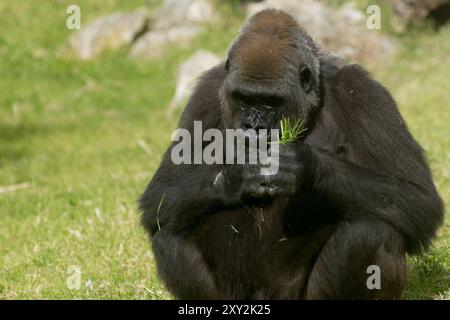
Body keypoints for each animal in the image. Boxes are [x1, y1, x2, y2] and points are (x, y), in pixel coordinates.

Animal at [140, 10, 442, 300]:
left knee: (372, 229)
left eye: (270, 102)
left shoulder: (362, 91)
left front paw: (306, 167)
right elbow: (160, 194)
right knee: (169, 230)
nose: (254, 126)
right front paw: (236, 177)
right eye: (242, 98)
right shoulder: (206, 92)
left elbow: (419, 198)